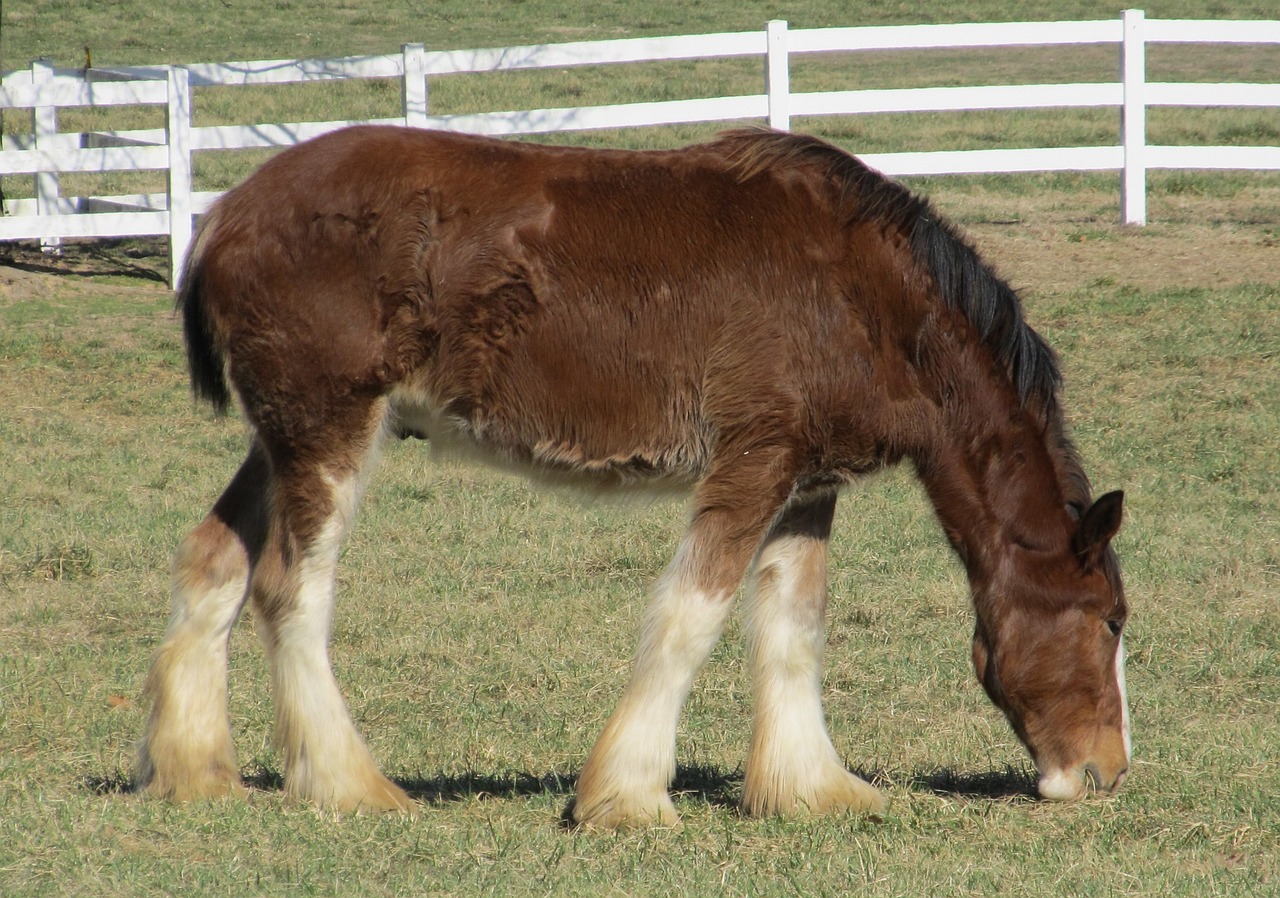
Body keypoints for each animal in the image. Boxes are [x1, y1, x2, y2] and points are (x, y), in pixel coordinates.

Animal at [135, 124, 1126, 828]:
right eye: (1111, 620)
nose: (1106, 771)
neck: (866, 296)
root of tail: (221, 217)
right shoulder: (754, 459)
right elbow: (694, 616)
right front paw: (629, 798)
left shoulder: (807, 482)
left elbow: (793, 627)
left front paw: (811, 789)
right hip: (331, 430)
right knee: (291, 589)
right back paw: (348, 785)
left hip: (280, 440)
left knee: (215, 561)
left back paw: (196, 772)